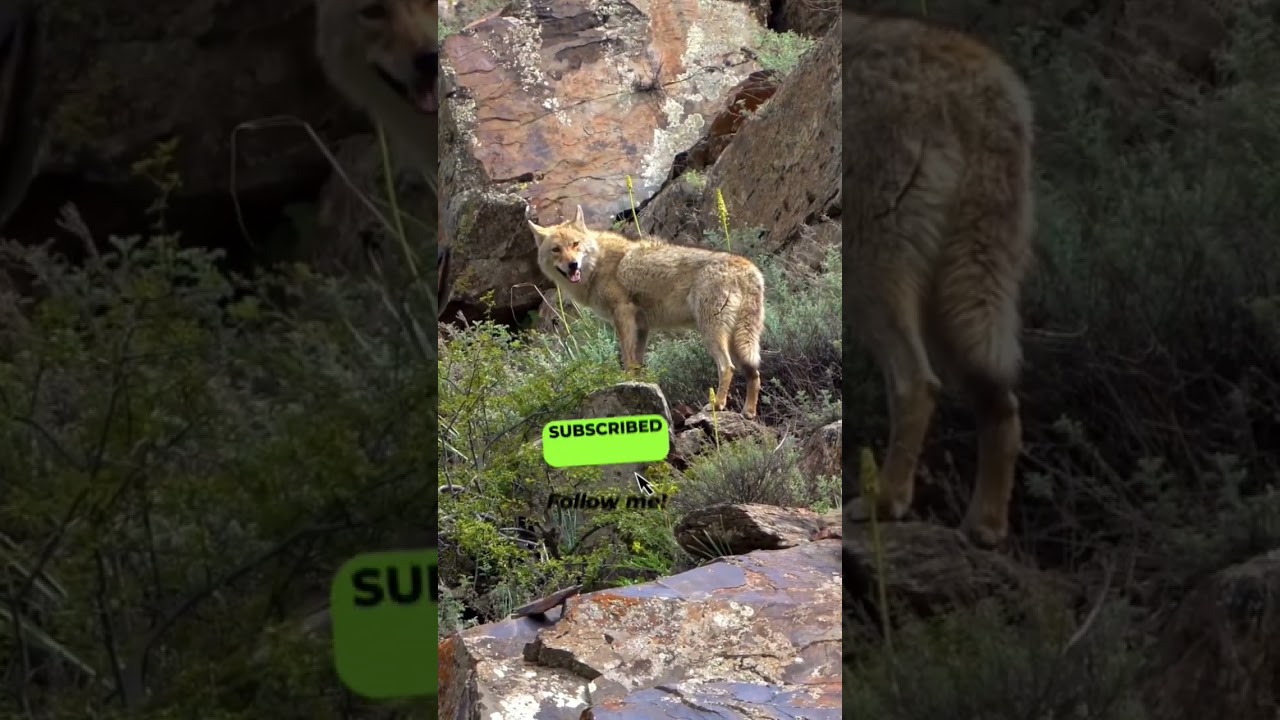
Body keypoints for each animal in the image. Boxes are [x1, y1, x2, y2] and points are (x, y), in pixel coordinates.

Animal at [528, 206, 767, 419]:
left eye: (575, 244)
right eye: (556, 249)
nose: (572, 265)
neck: (598, 264)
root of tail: (748, 268)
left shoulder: (623, 315)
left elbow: (627, 359)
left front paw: (625, 382)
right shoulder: (642, 326)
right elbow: (638, 363)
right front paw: (640, 386)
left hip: (712, 334)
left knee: (727, 367)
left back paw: (717, 404)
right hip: (739, 341)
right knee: (754, 372)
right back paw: (749, 412)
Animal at [842, 12, 1035, 548]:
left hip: (875, 268)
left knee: (917, 383)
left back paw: (883, 502)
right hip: (961, 288)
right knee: (1000, 401)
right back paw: (984, 527)